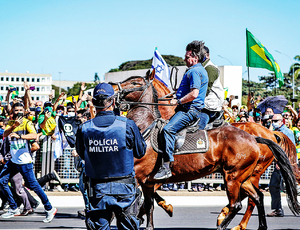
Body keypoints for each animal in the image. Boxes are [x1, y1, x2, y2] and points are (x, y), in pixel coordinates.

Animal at [110, 72, 300, 230]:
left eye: (134, 82)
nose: (112, 89)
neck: (145, 129)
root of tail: (257, 137)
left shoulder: (138, 177)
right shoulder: (147, 181)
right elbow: (148, 205)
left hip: (233, 177)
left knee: (237, 204)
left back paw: (224, 223)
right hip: (243, 177)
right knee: (257, 197)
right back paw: (255, 225)